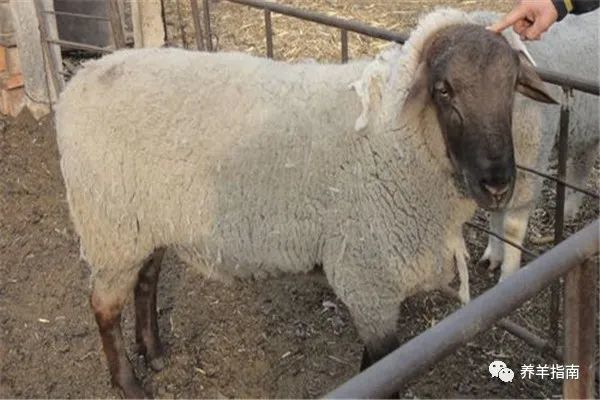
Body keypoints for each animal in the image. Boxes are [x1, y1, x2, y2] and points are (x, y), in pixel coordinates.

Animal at [55, 8, 556, 397]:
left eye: (512, 85)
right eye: (444, 89)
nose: (497, 185)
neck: (394, 140)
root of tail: (82, 79)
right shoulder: (368, 278)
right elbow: (382, 370)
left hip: (144, 219)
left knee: (147, 281)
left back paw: (155, 352)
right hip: (109, 225)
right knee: (104, 306)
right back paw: (128, 383)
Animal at [471, 10, 599, 279]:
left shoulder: (527, 164)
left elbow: (512, 226)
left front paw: (509, 275)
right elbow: (494, 211)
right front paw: (494, 255)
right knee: (584, 160)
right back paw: (569, 209)